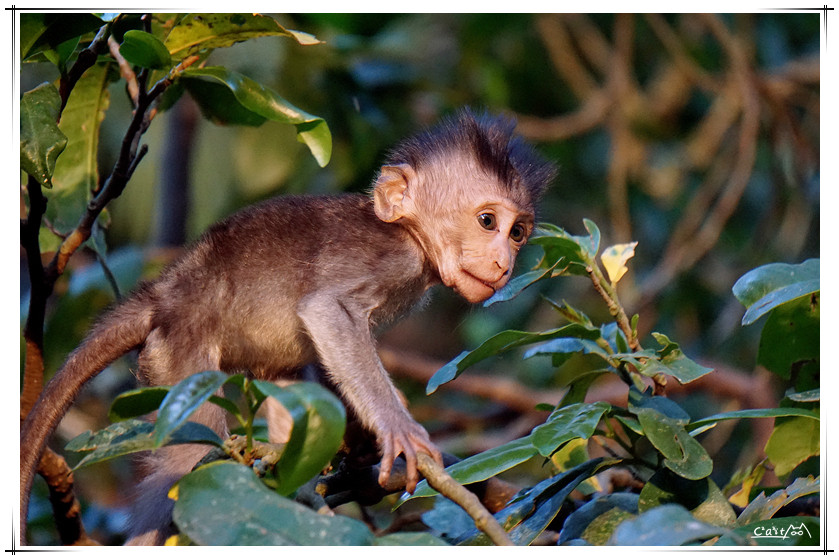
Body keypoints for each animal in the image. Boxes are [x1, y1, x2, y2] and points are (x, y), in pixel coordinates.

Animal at [19, 107, 556, 544]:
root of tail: (165, 293)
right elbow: (326, 312)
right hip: (180, 358)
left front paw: (359, 450)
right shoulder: (384, 259)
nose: (505, 263)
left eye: (517, 232)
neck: (410, 236)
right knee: (182, 468)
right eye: (487, 221)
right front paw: (398, 429)